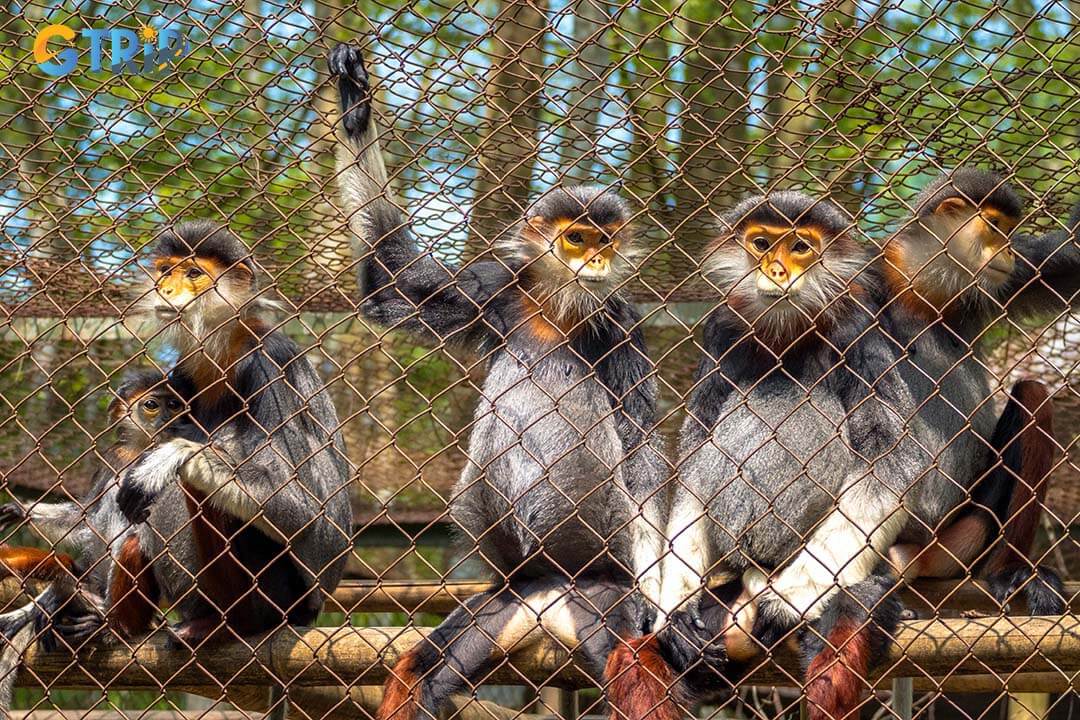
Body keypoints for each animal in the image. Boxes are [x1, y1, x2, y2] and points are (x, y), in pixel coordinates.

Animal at [328, 42, 665, 720]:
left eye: (603, 240)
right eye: (576, 238)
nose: (596, 260)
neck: (557, 309)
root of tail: (550, 589)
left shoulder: (621, 321)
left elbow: (640, 442)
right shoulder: (498, 292)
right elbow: (387, 281)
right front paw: (355, 105)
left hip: (604, 585)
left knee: (633, 666)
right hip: (500, 600)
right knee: (420, 671)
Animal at [609, 191, 928, 720]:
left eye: (800, 247)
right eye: (761, 244)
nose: (776, 269)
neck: (786, 331)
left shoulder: (856, 327)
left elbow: (892, 459)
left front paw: (787, 604)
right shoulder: (722, 329)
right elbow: (694, 456)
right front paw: (676, 605)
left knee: (851, 610)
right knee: (638, 651)